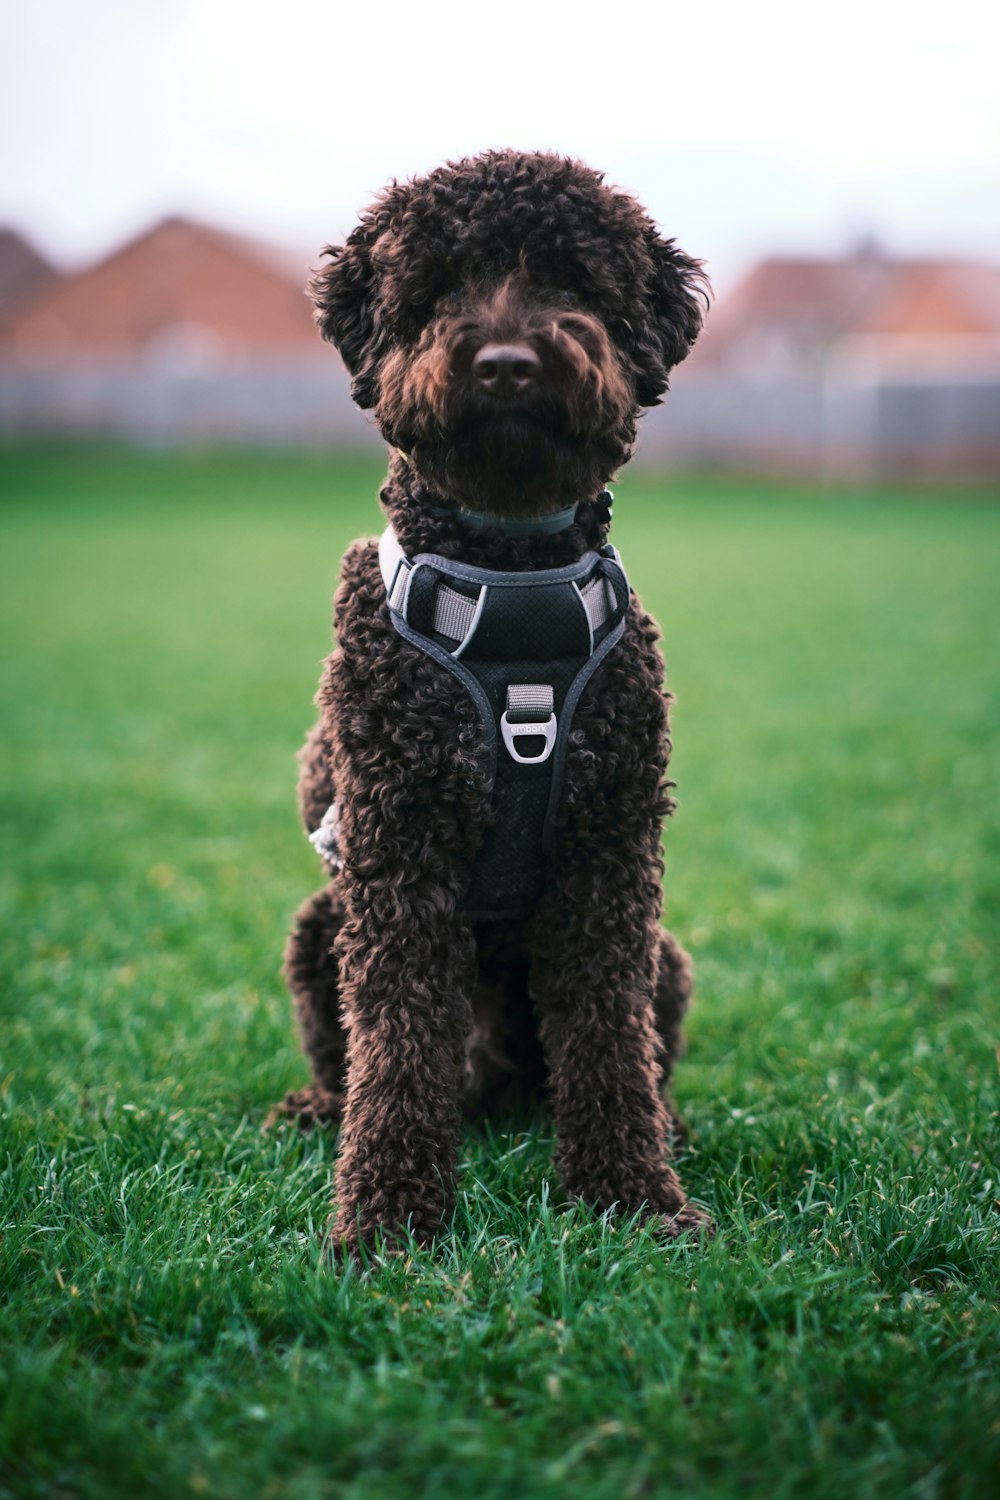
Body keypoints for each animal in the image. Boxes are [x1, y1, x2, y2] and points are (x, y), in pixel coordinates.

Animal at [274, 149, 710, 1254]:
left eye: (571, 280)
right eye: (439, 287)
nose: (508, 362)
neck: (511, 580)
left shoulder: (610, 859)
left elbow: (606, 1038)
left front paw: (633, 1195)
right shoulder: (399, 852)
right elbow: (396, 1047)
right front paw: (388, 1217)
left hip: (667, 957)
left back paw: (668, 1125)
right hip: (317, 928)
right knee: (353, 1060)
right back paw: (317, 1113)